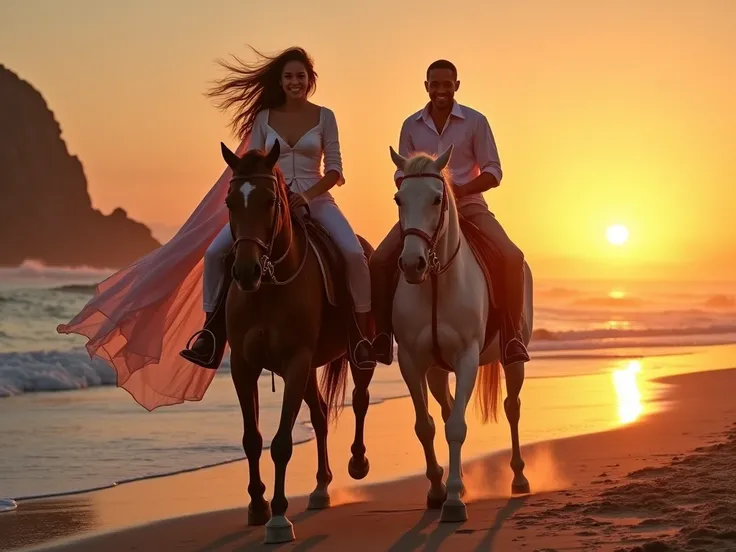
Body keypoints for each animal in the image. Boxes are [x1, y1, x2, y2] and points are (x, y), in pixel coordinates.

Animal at [220, 139, 376, 544]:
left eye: (269, 201)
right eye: (230, 202)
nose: (245, 271)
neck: (269, 287)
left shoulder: (295, 361)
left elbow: (282, 443)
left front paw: (278, 518)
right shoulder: (244, 366)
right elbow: (253, 438)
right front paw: (258, 506)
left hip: (358, 354)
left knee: (360, 399)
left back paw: (357, 462)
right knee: (319, 414)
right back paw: (321, 488)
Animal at [388, 143, 532, 520]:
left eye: (437, 198)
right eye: (398, 198)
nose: (412, 264)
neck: (437, 282)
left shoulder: (467, 358)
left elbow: (456, 426)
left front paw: (453, 500)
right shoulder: (411, 361)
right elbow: (426, 425)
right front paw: (438, 490)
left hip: (515, 360)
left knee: (512, 407)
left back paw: (519, 478)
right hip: (437, 371)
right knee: (446, 407)